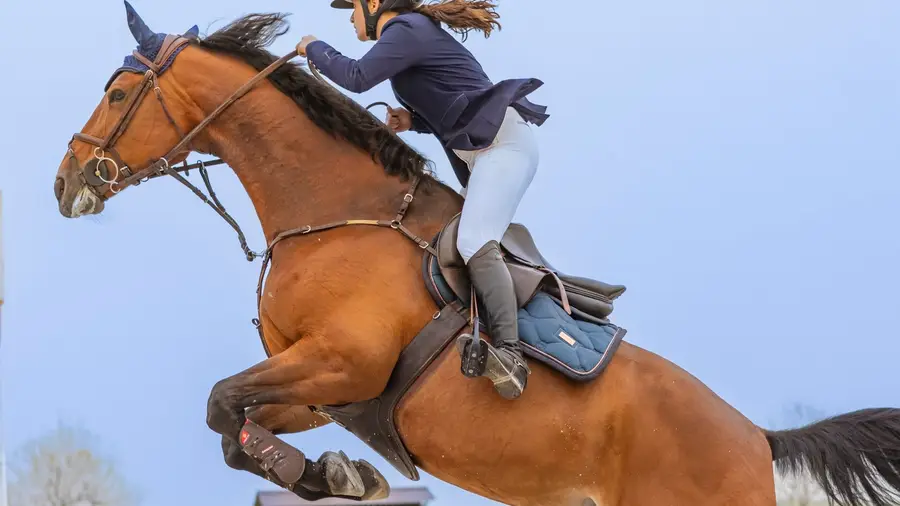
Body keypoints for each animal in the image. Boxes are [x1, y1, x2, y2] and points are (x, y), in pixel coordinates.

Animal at [54, 3, 900, 506]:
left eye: (118, 92)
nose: (66, 183)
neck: (331, 217)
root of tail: (756, 439)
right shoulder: (322, 389)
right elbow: (232, 423)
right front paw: (338, 474)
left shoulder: (344, 362)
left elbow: (221, 402)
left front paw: (339, 476)